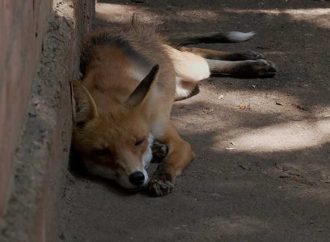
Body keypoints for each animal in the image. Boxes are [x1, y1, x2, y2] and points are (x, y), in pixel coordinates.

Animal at [71, 18, 276, 197]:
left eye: (138, 142)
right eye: (102, 152)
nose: (136, 178)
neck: (110, 93)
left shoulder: (177, 140)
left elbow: (170, 161)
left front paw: (162, 178)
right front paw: (156, 151)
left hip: (192, 70)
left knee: (198, 55)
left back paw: (253, 63)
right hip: (183, 88)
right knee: (194, 53)